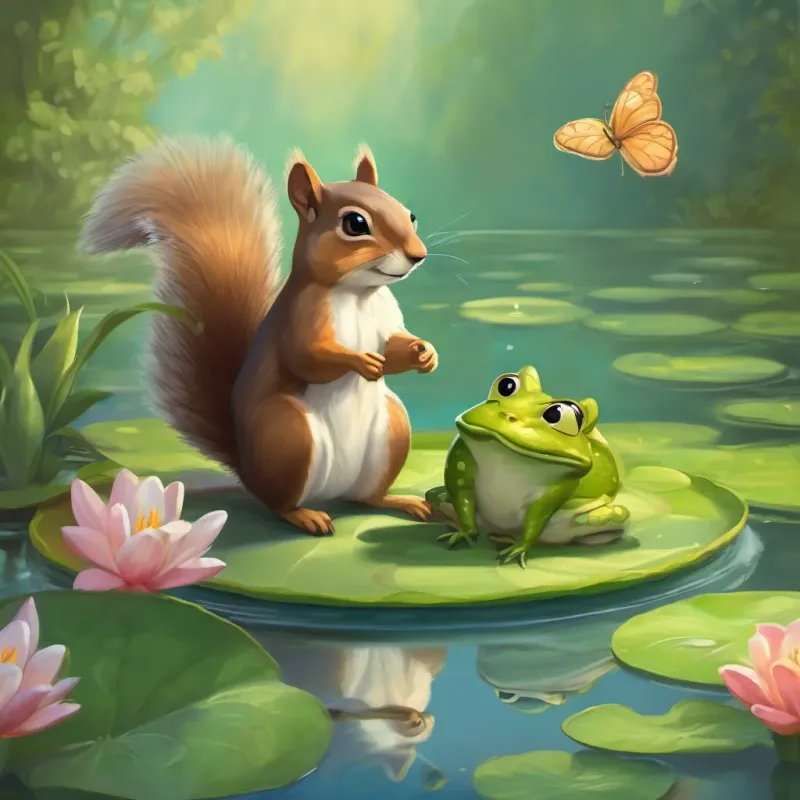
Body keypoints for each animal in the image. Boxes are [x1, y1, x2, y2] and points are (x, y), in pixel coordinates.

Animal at [79, 135, 438, 536]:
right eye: (355, 223)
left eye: (409, 214)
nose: (418, 255)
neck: (358, 294)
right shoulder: (299, 319)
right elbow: (306, 359)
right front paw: (361, 361)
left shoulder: (386, 320)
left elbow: (394, 343)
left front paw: (424, 353)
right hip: (287, 435)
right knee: (278, 503)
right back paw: (305, 516)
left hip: (392, 430)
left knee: (366, 498)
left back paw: (400, 501)